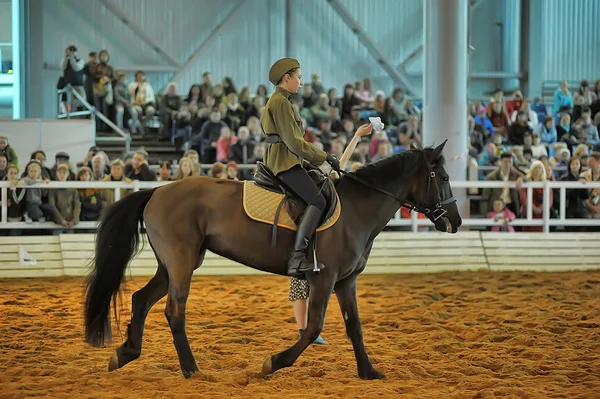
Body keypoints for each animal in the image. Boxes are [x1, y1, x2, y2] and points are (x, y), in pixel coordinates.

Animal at [83, 141, 460, 382]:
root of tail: (157, 191)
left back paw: (125, 353)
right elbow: (313, 327)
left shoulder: (345, 282)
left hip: (172, 265)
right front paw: (274, 363)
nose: (455, 221)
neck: (357, 208)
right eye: (442, 178)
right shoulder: (323, 279)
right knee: (174, 311)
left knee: (141, 299)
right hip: (180, 263)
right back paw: (191, 369)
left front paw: (368, 372)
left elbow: (354, 327)